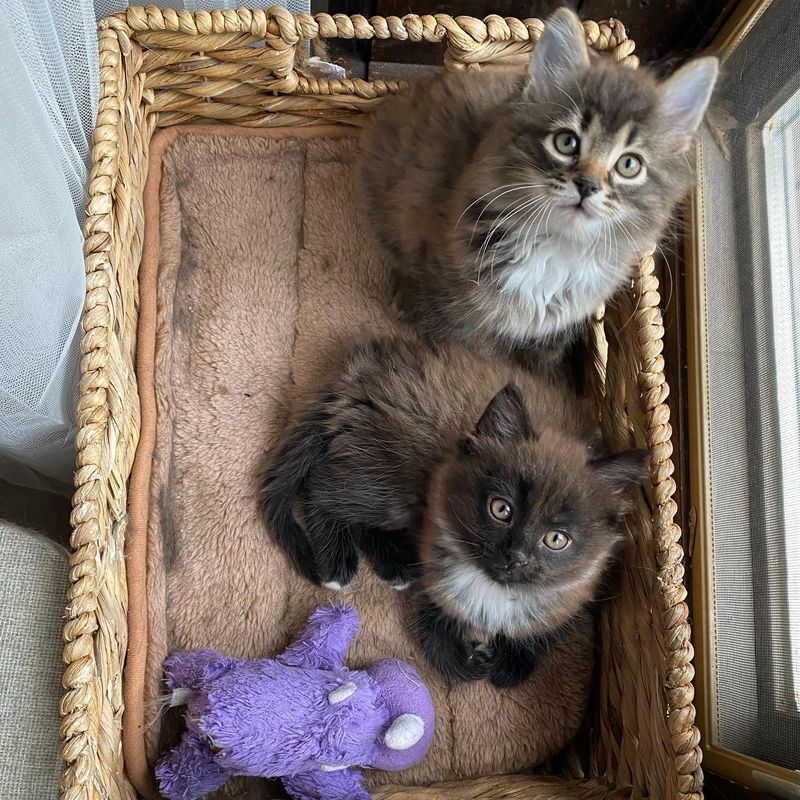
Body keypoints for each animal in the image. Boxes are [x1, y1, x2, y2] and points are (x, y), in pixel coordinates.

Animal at [260, 338, 648, 688]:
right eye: (501, 509)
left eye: (556, 539)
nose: (516, 556)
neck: (495, 591)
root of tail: (364, 371)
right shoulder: (435, 576)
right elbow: (436, 638)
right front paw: (470, 665)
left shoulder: (579, 591)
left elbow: (544, 631)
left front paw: (510, 665)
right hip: (390, 482)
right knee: (322, 489)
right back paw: (339, 562)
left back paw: (395, 564)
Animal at [356, 8, 720, 356]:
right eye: (567, 142)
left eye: (629, 164)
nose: (587, 185)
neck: (556, 249)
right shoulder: (440, 278)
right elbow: (452, 325)